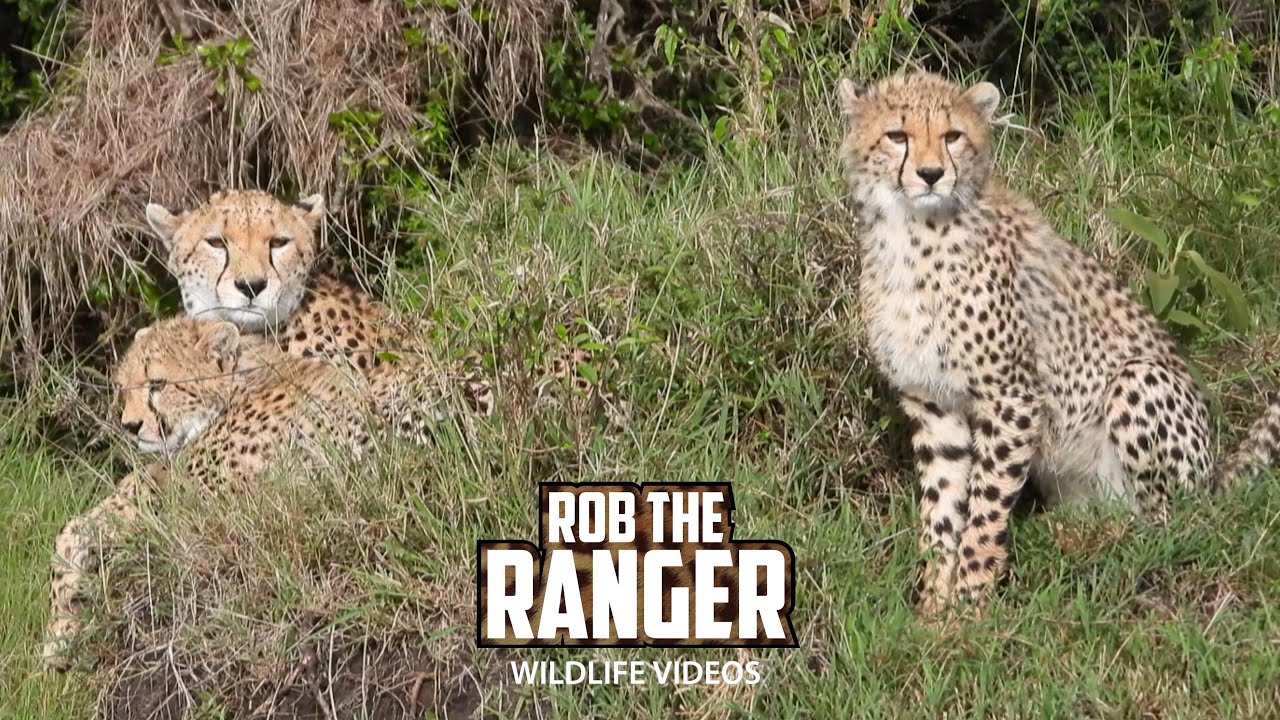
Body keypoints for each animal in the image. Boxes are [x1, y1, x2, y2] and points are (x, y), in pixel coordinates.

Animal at [836, 71, 1280, 615]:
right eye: (896, 135)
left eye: (952, 135)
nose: (931, 173)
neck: (911, 232)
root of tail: (1214, 471)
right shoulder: (933, 403)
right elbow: (942, 509)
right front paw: (934, 606)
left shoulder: (1011, 396)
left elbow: (985, 509)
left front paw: (970, 603)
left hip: (1140, 381)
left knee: (1173, 518)